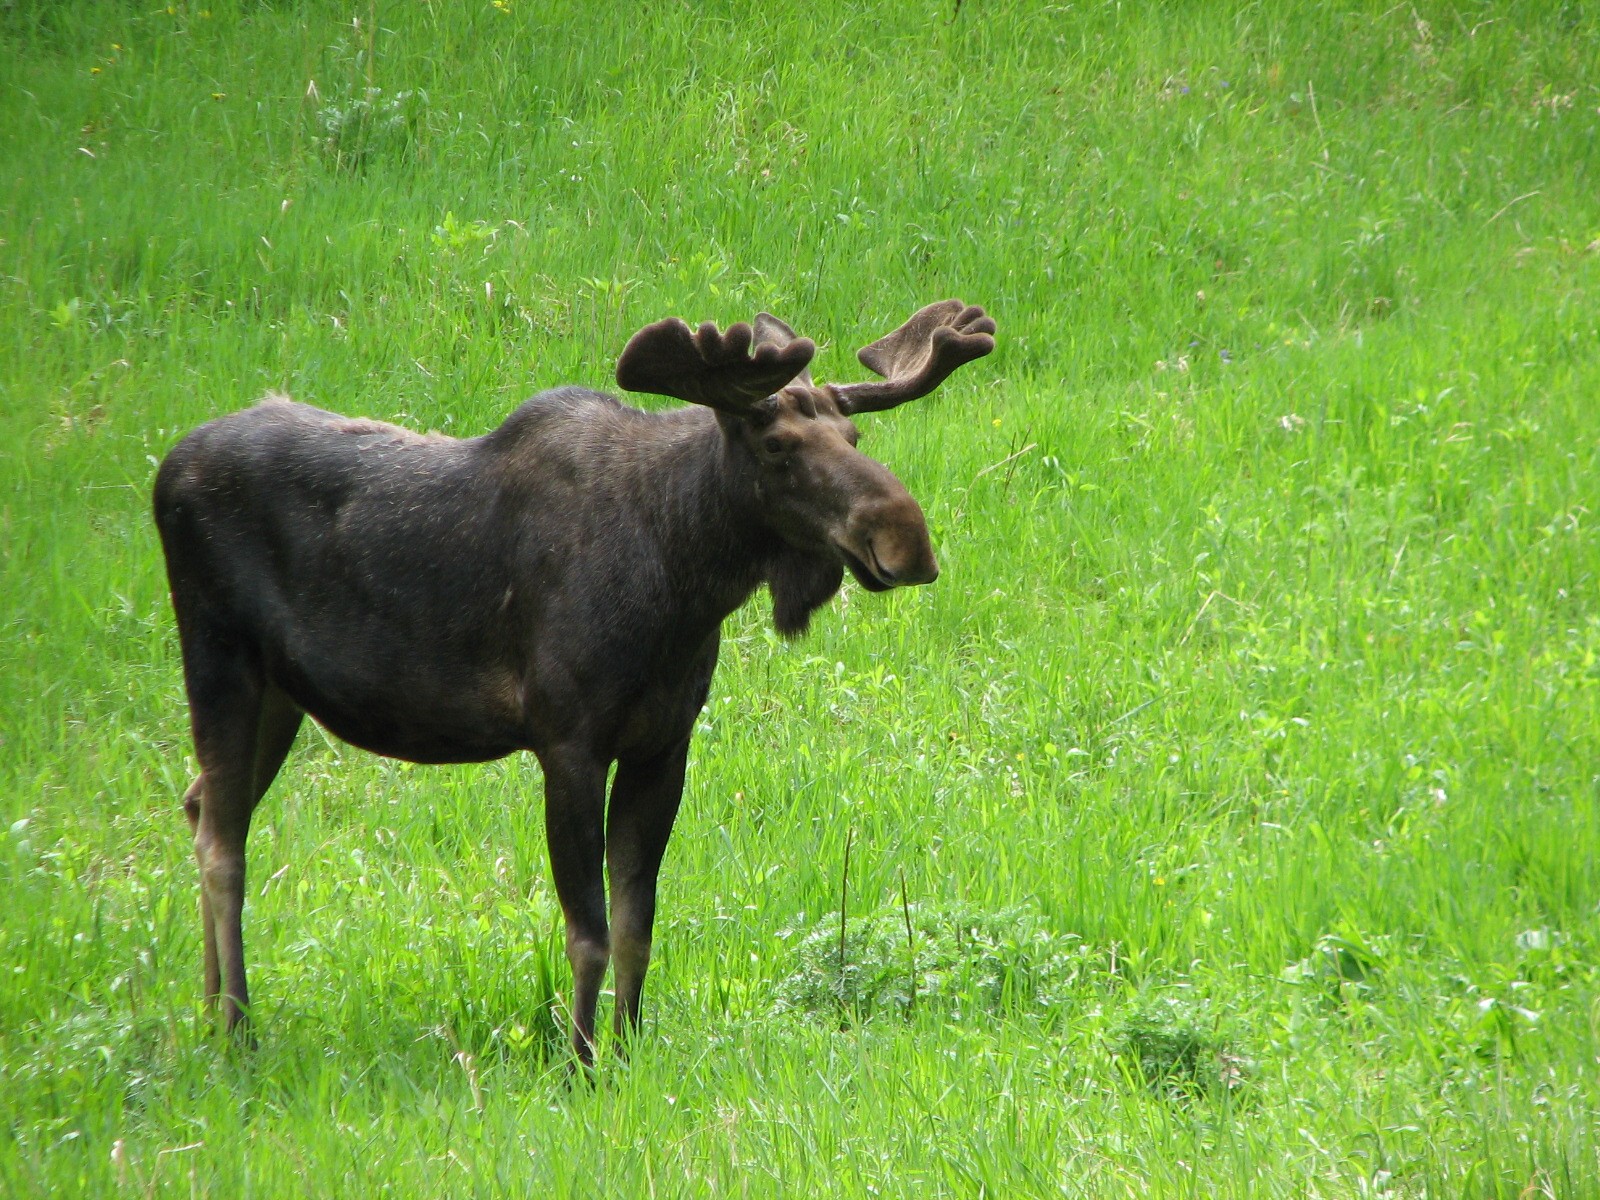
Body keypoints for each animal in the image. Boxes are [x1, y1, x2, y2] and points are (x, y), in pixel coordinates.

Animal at [152, 299, 996, 1065]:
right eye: (778, 446)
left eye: (853, 436)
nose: (907, 539)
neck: (683, 574)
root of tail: (165, 471)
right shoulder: (568, 742)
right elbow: (586, 930)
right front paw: (580, 1063)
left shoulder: (663, 745)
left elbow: (636, 925)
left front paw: (626, 1051)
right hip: (218, 656)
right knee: (224, 843)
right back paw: (236, 1027)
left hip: (281, 692)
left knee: (201, 805)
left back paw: (208, 1011)